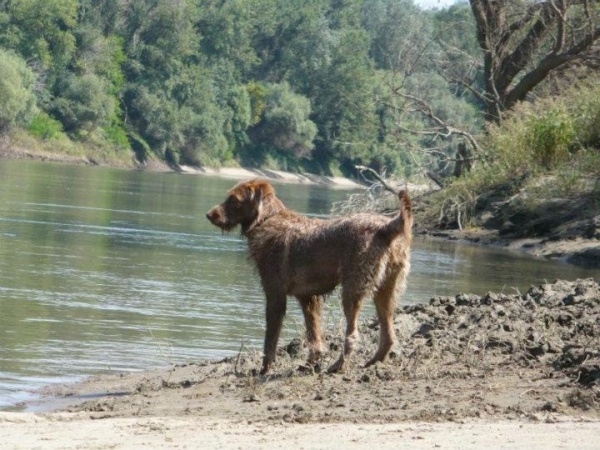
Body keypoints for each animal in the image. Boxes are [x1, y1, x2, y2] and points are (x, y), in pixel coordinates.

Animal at [207, 178, 412, 372]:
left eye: (234, 199)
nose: (209, 214)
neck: (266, 219)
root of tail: (385, 228)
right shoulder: (308, 297)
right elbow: (313, 334)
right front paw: (310, 362)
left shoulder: (275, 295)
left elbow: (270, 341)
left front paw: (264, 369)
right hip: (386, 290)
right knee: (388, 335)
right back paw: (373, 362)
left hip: (352, 291)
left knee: (352, 335)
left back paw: (339, 365)